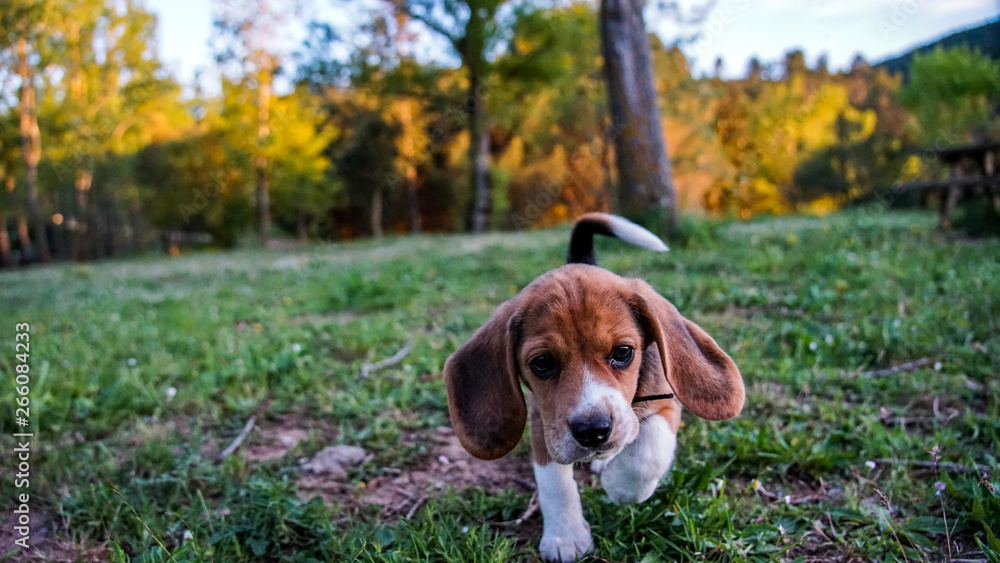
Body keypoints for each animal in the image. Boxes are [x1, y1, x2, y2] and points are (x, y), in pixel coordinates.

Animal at [446, 213, 744, 563]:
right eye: (542, 363)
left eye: (623, 352)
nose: (593, 431)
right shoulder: (544, 423)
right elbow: (554, 482)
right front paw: (565, 535)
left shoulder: (667, 403)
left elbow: (649, 449)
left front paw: (621, 486)